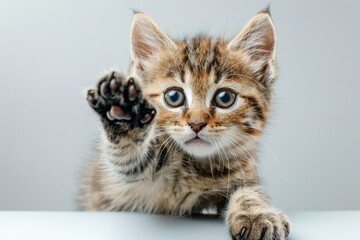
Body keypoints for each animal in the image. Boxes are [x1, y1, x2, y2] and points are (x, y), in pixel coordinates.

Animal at [81, 8, 290, 239]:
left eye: (225, 98)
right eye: (174, 97)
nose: (196, 124)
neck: (198, 166)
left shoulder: (243, 172)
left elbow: (251, 192)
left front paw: (258, 214)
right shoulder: (134, 172)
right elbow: (130, 157)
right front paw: (122, 110)